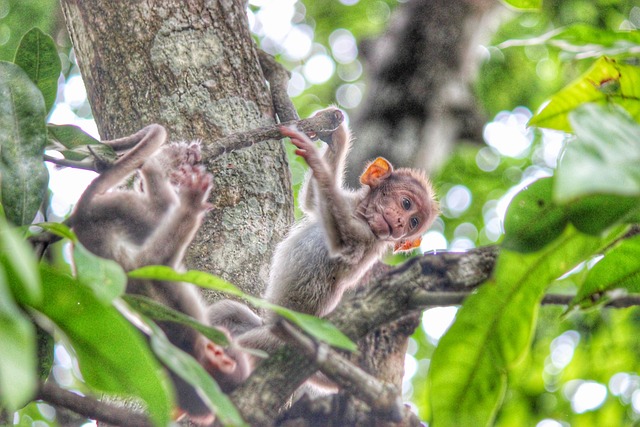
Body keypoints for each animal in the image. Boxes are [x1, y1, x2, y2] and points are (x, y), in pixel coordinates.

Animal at [70, 123, 249, 424]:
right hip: (129, 212)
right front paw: (191, 204)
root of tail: (81, 218)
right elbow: (153, 262)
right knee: (159, 210)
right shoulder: (184, 326)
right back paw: (164, 166)